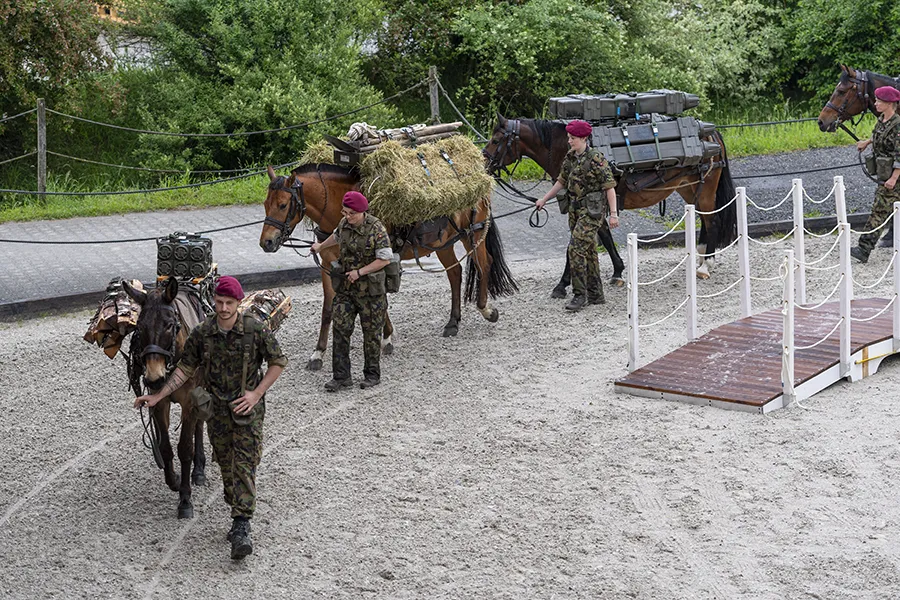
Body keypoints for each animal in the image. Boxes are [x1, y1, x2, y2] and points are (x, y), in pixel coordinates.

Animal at [122, 278, 207, 516]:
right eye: (139, 327)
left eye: (169, 325)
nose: (153, 378)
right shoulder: (158, 401)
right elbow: (164, 448)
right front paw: (174, 480)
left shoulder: (189, 401)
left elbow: (185, 448)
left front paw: (185, 499)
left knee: (199, 425)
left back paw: (199, 469)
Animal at [256, 164, 516, 370]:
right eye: (265, 204)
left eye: (282, 205)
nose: (266, 242)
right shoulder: (329, 266)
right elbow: (328, 309)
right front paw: (318, 352)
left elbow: (378, 297)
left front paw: (386, 337)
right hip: (444, 242)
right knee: (455, 273)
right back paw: (453, 322)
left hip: (473, 233)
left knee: (484, 266)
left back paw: (486, 309)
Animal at [486, 115, 740, 290]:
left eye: (496, 140)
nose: (485, 163)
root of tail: (712, 135)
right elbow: (605, 237)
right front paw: (618, 271)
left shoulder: (593, 204)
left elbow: (577, 241)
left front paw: (563, 283)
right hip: (689, 189)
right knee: (705, 221)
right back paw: (702, 256)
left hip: (705, 190)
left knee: (713, 222)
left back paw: (706, 266)